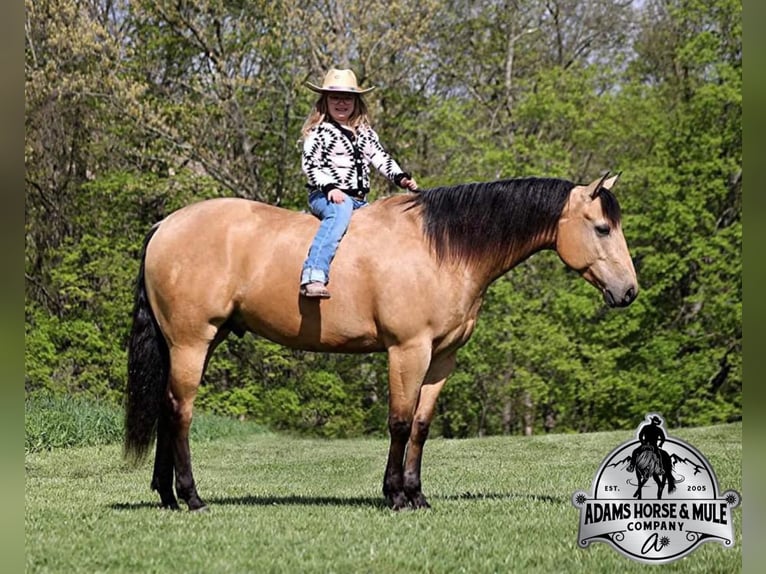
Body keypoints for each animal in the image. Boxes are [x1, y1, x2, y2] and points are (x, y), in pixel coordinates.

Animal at [126, 172, 640, 512]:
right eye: (602, 228)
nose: (630, 291)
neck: (440, 248)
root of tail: (164, 226)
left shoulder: (442, 358)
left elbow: (421, 426)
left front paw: (417, 494)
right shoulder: (407, 350)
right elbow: (398, 422)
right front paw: (394, 495)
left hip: (197, 342)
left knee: (167, 409)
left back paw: (167, 496)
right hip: (192, 342)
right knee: (181, 412)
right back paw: (191, 497)